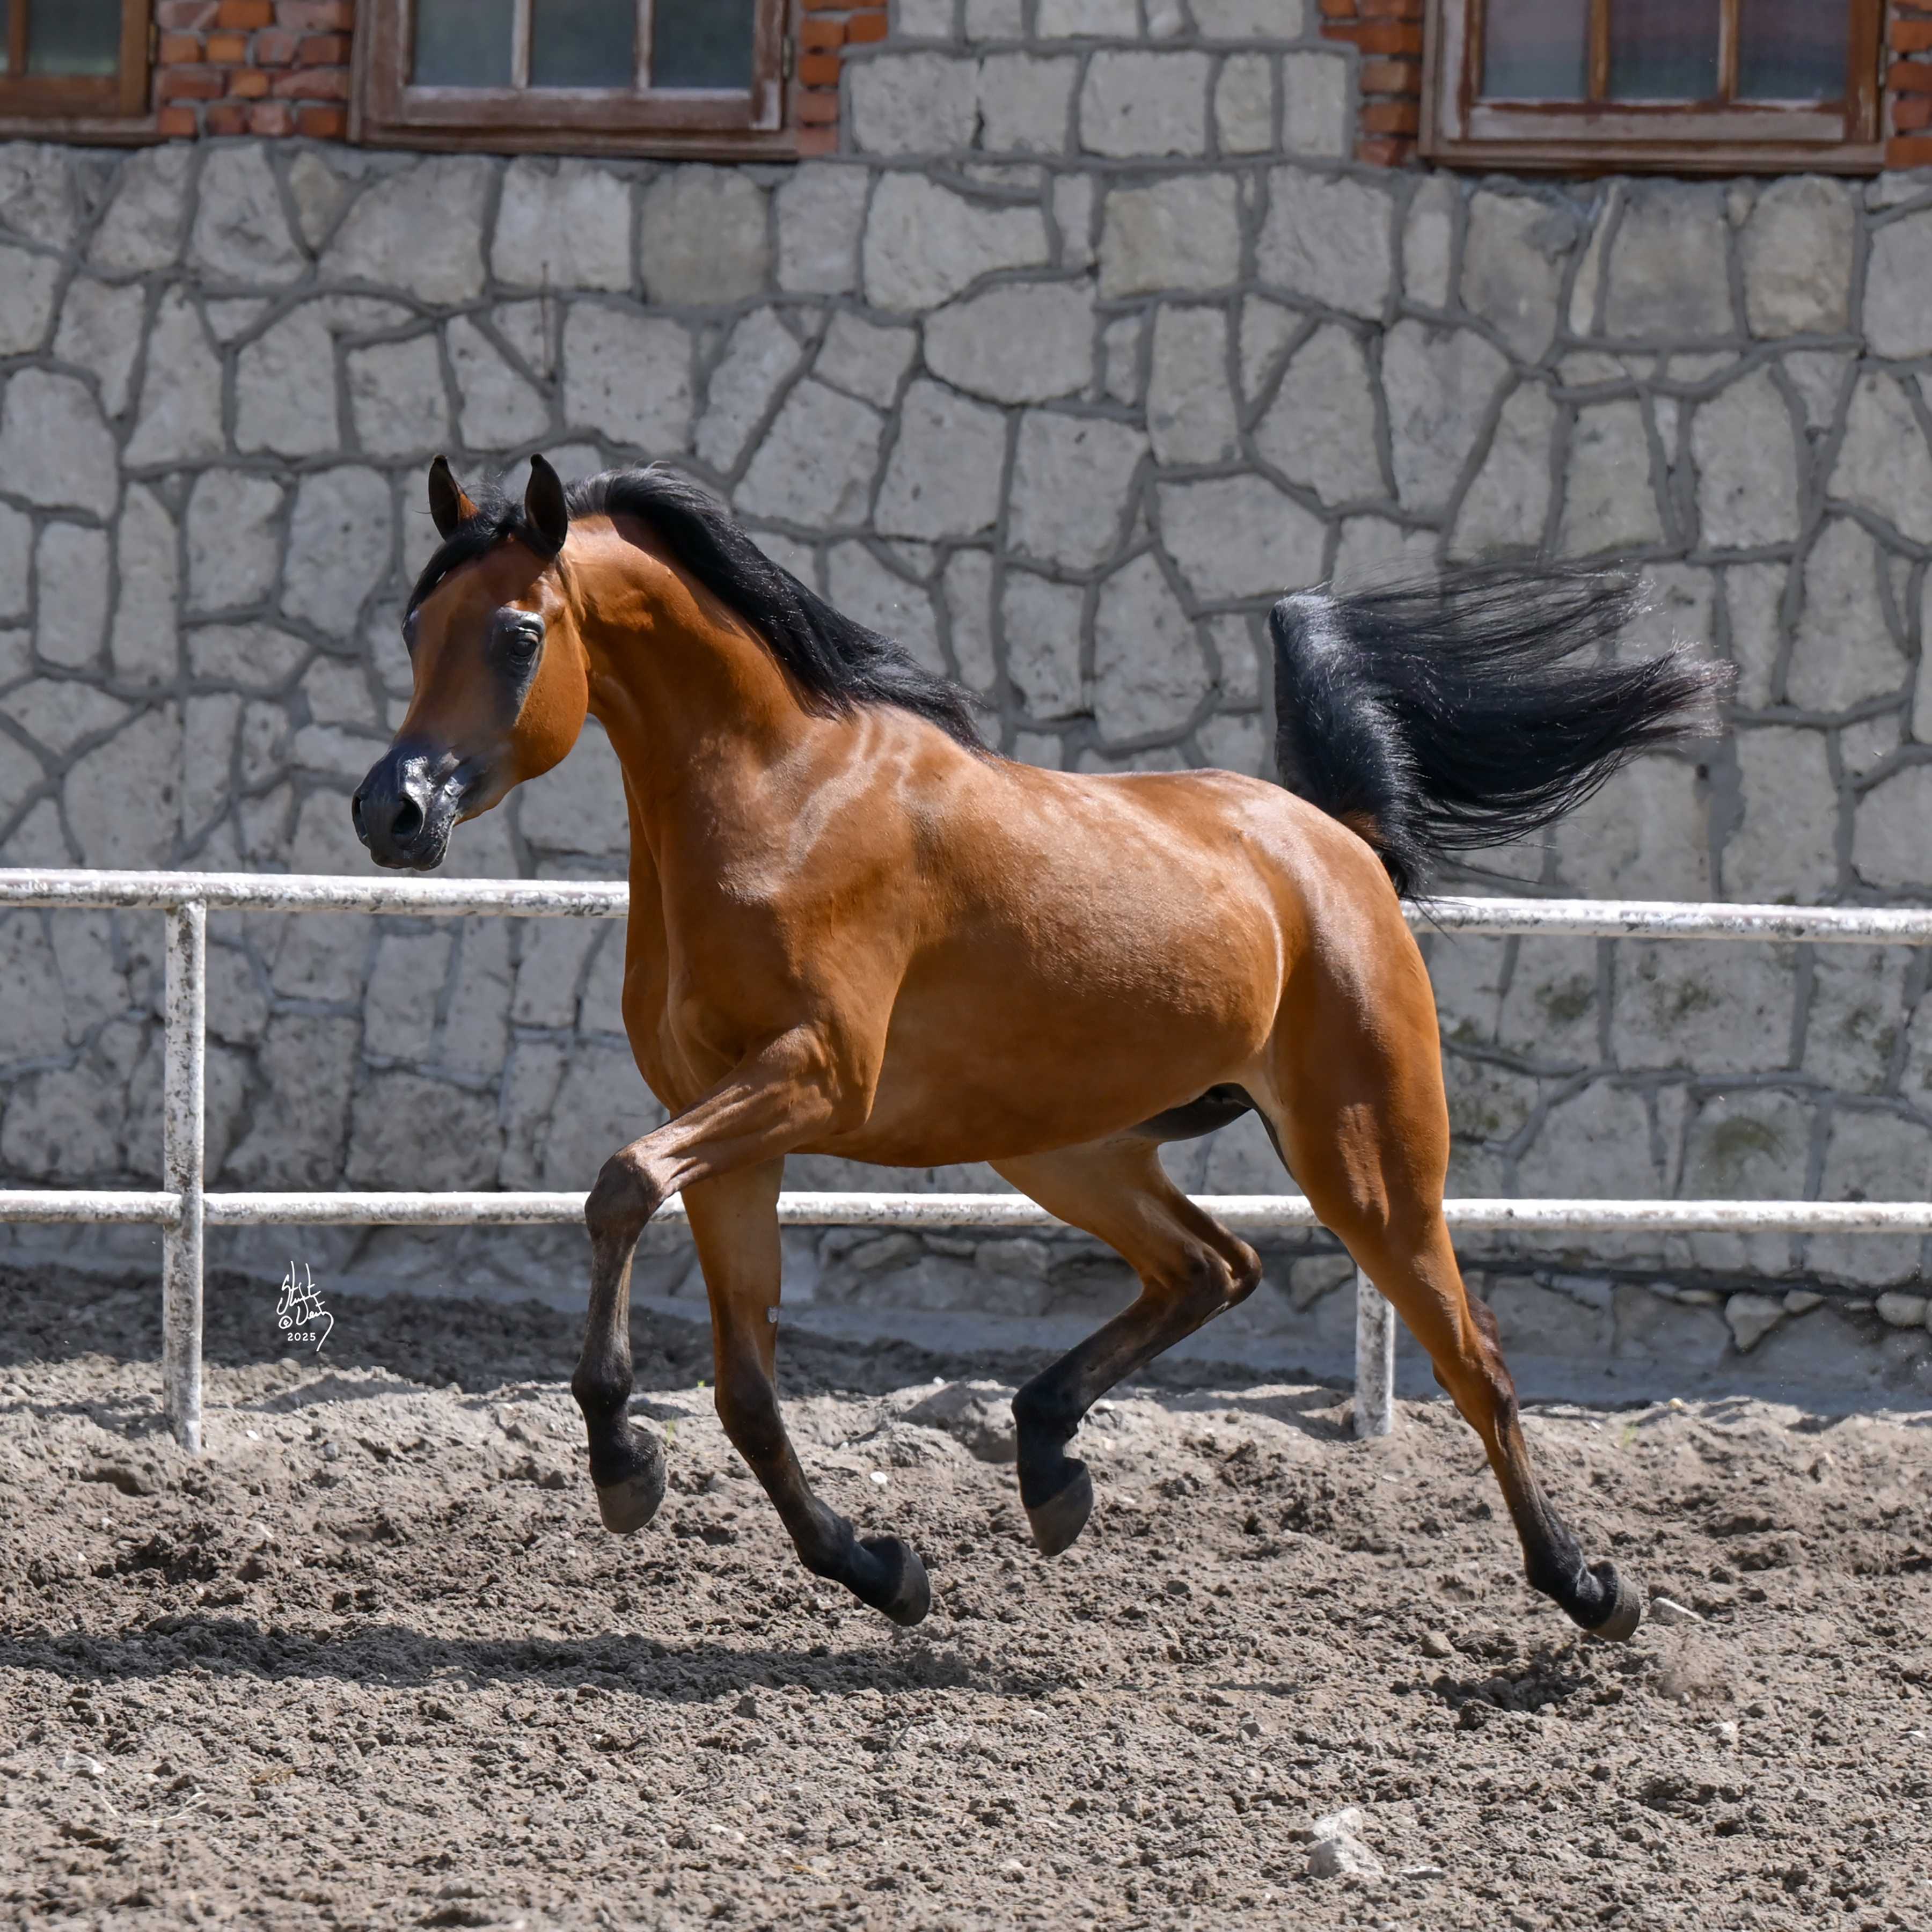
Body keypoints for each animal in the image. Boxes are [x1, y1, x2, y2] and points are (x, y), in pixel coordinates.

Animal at [352, 454, 1727, 1641]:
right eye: (415, 628)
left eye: (518, 634)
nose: (390, 810)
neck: (780, 801)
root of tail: (1335, 843)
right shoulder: (733, 1129)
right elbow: (742, 1385)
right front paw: (879, 1569)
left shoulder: (811, 1082)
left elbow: (622, 1185)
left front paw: (624, 1462)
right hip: (1069, 1150)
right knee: (1213, 1267)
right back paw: (1048, 1460)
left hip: (1369, 1159)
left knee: (1472, 1359)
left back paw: (1590, 1591)